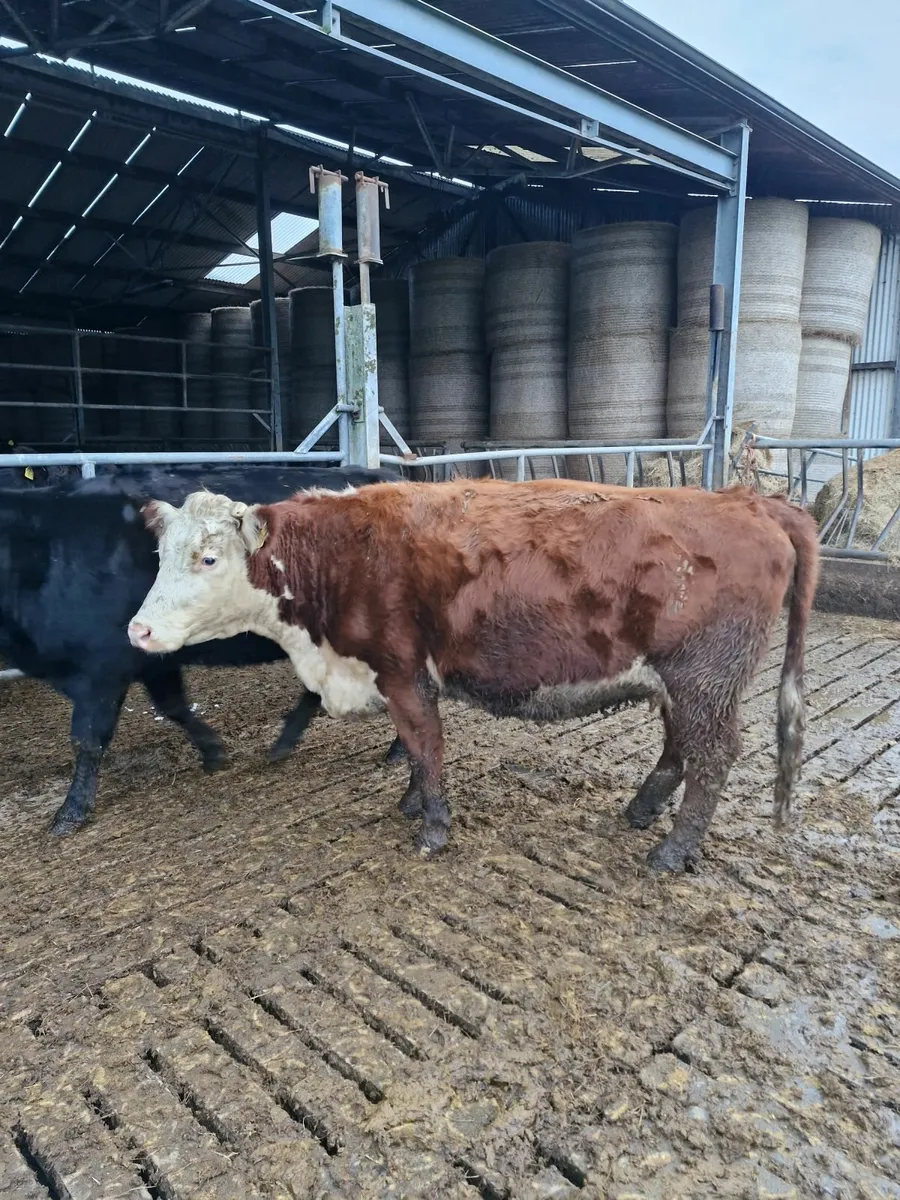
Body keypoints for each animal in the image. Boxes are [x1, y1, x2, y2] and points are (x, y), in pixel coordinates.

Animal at [0, 463, 396, 836]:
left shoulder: (100, 669)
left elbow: (86, 738)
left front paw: (72, 809)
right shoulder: (152, 657)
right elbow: (173, 707)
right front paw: (213, 751)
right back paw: (286, 741)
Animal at [127, 478, 819, 873]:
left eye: (208, 557)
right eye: (159, 554)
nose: (138, 631)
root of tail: (750, 502)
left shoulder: (403, 670)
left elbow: (425, 744)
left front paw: (433, 827)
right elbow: (412, 750)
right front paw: (411, 803)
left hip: (706, 679)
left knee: (713, 757)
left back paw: (672, 852)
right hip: (680, 682)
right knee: (680, 748)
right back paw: (643, 810)